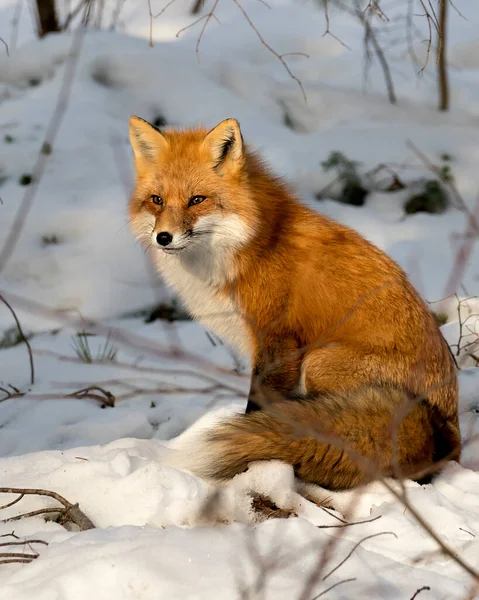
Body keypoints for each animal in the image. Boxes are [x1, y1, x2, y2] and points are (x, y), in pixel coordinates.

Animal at [127, 117, 462, 492]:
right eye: (156, 200)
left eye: (197, 200)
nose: (163, 238)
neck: (249, 247)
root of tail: (445, 434)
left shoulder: (278, 342)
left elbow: (258, 408)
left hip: (319, 361)